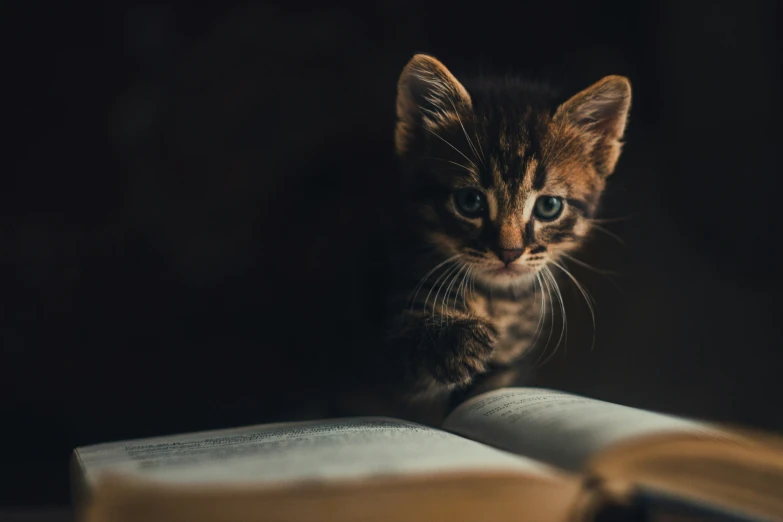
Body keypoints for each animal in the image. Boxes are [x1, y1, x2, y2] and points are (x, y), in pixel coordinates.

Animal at [352, 51, 632, 418]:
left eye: (549, 206)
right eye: (469, 201)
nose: (509, 252)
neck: (497, 301)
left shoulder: (511, 365)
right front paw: (455, 341)